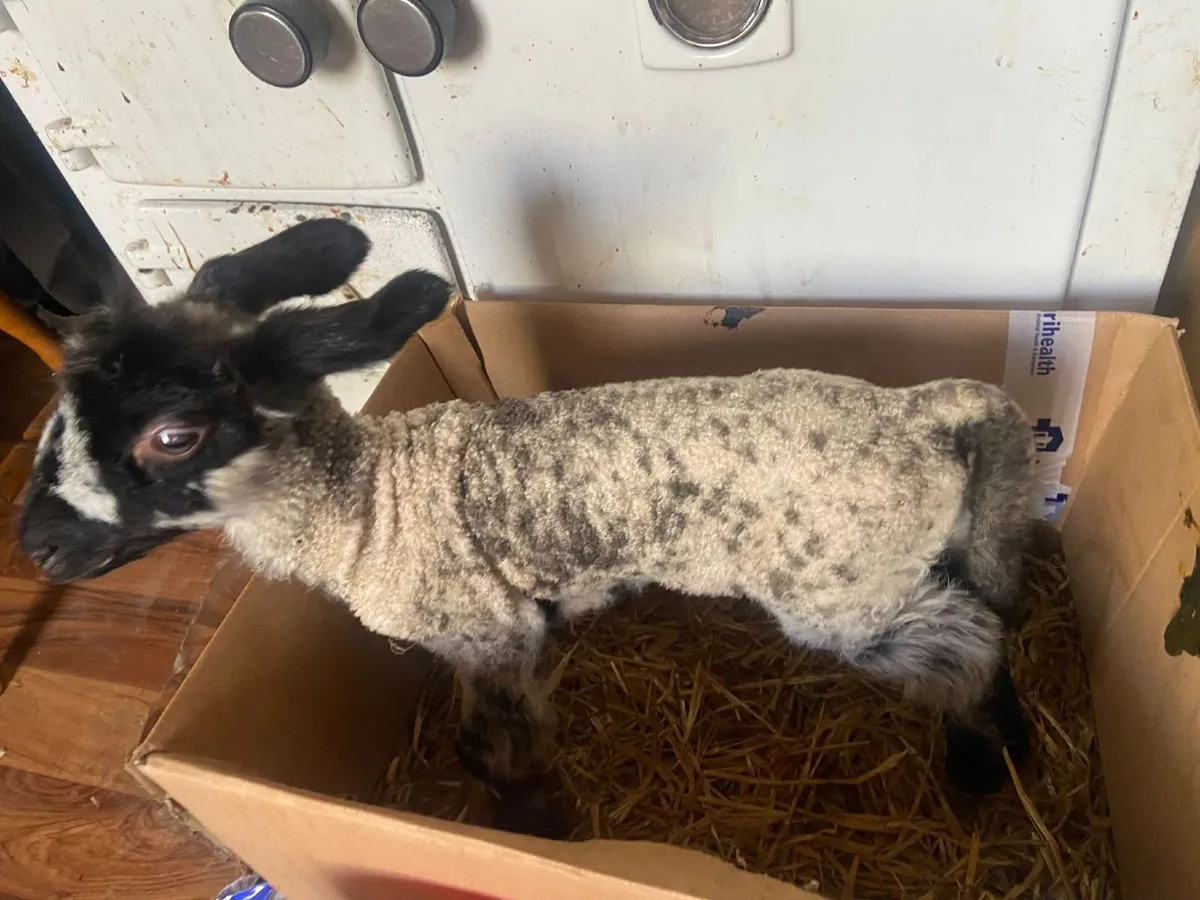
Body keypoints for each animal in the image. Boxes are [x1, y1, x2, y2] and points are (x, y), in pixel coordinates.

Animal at [18, 218, 1035, 798]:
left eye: (174, 436)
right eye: (58, 412)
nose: (35, 548)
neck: (364, 506)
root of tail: (918, 410)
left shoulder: (489, 633)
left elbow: (486, 743)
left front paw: (533, 812)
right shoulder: (502, 634)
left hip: (840, 590)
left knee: (967, 637)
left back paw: (988, 766)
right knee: (983, 602)